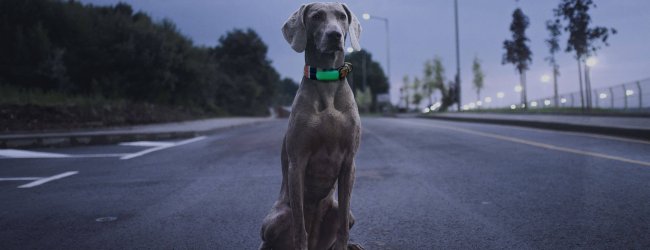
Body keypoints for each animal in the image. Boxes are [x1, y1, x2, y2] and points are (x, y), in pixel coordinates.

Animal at [256, 1, 362, 250]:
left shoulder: (349, 162)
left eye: (342, 16)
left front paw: (345, 244)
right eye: (316, 16)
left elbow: (343, 225)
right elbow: (299, 228)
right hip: (274, 219)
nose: (334, 35)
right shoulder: (297, 162)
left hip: (340, 212)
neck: (327, 80)